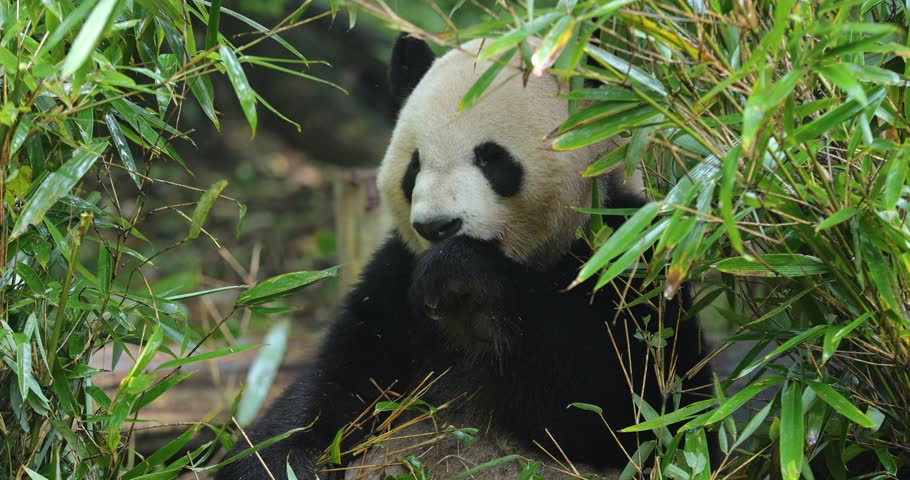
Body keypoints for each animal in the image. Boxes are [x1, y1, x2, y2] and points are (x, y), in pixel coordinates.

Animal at [218, 35, 711, 480]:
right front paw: (286, 462)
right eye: (414, 166)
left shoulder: (633, 255)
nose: (437, 226)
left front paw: (460, 271)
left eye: (491, 159)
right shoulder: (392, 285)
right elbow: (328, 396)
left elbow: (626, 411)